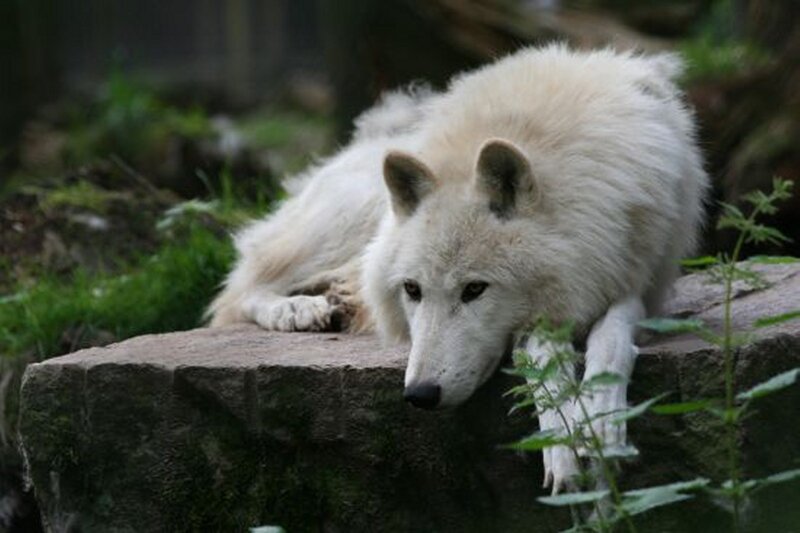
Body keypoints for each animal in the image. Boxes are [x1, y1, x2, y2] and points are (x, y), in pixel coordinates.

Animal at [209, 45, 708, 493]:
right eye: (412, 290)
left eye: (474, 290)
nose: (419, 395)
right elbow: (543, 361)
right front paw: (566, 444)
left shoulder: (643, 280)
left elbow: (611, 336)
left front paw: (602, 421)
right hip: (349, 217)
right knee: (240, 285)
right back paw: (299, 310)